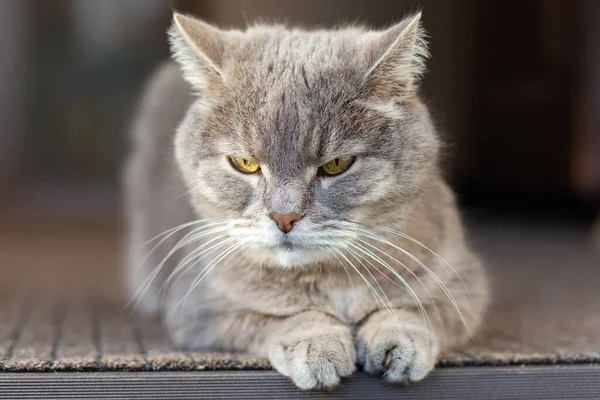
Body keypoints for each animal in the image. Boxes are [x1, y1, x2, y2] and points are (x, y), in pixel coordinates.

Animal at [124, 13, 490, 390]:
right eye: (244, 163)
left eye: (336, 164)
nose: (283, 217)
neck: (331, 278)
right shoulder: (197, 308)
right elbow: (285, 316)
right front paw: (317, 343)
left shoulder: (462, 285)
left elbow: (414, 310)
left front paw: (400, 340)